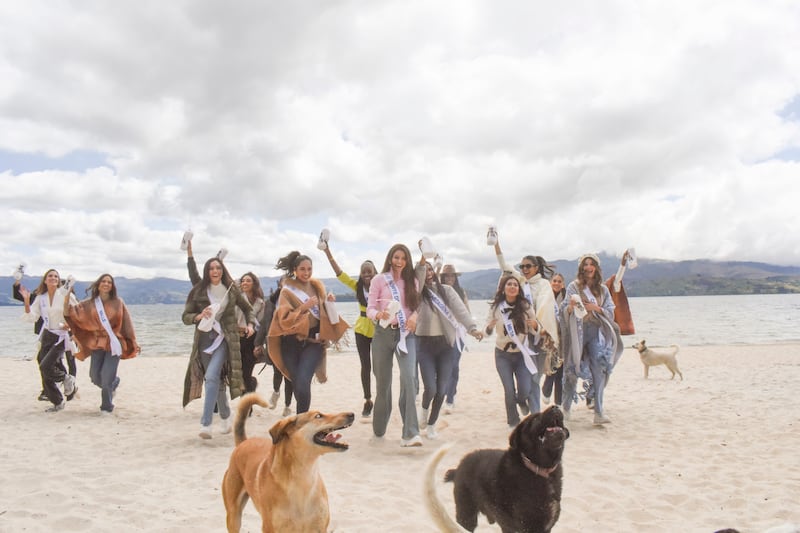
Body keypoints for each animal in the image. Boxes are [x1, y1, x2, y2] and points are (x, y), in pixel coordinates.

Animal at [222, 392, 354, 528]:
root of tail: (243, 442)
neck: (303, 477)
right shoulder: (270, 527)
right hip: (234, 516)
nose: (352, 414)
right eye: (318, 416)